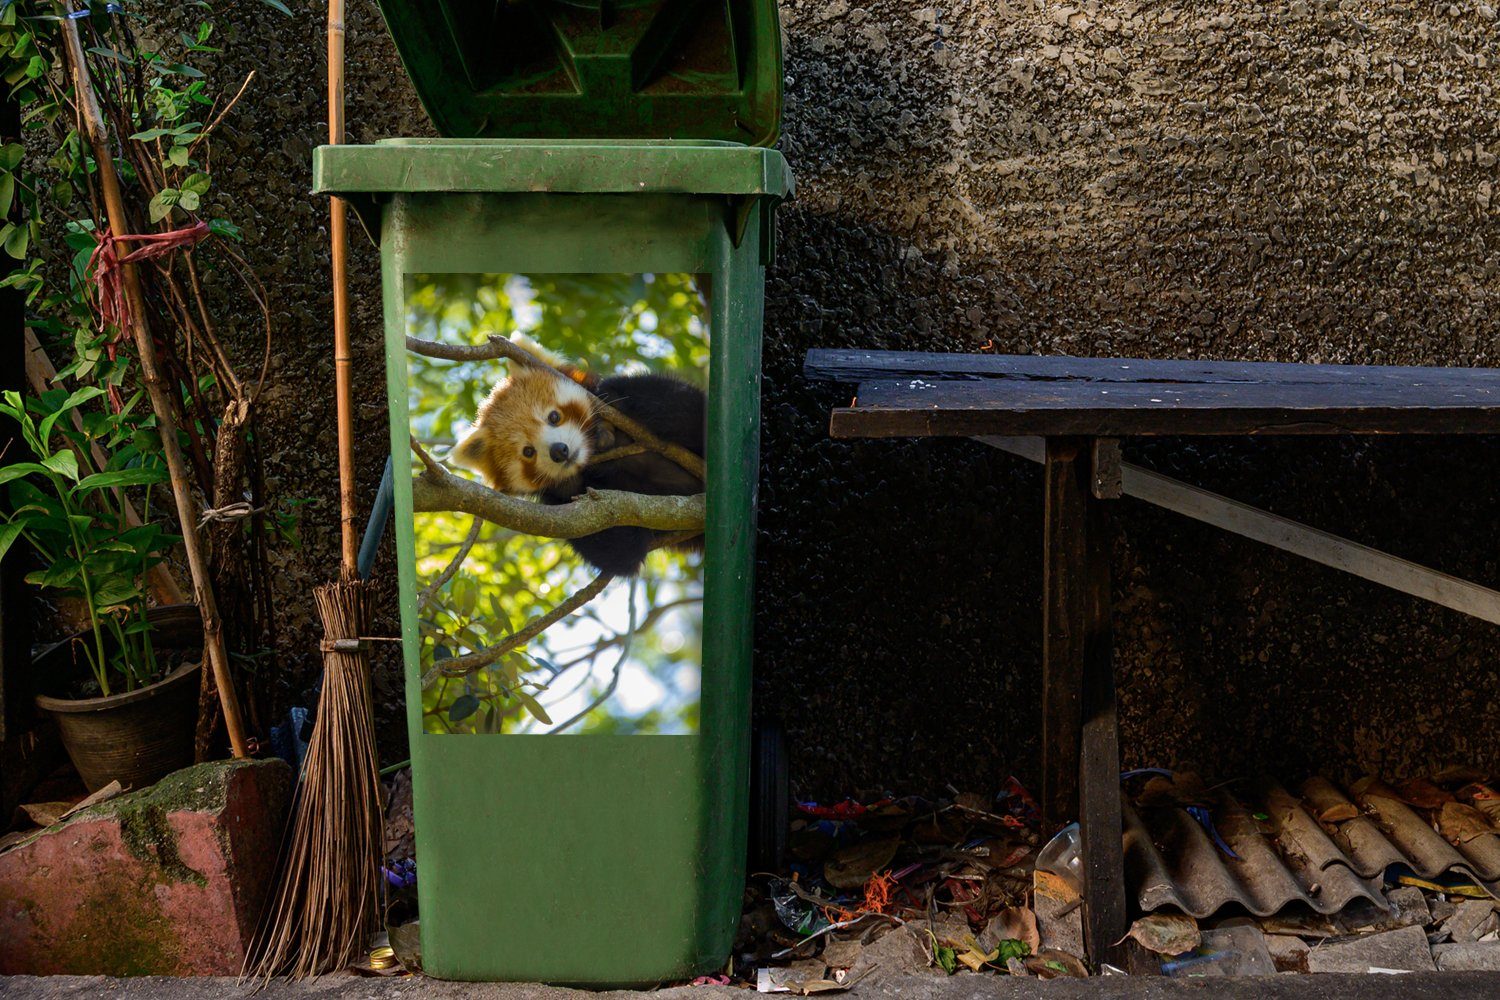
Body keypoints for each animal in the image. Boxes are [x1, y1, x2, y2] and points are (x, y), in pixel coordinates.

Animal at [447, 364, 705, 575]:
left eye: (554, 417)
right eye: (528, 452)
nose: (559, 451)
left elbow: (688, 408)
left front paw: (612, 395)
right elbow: (620, 552)